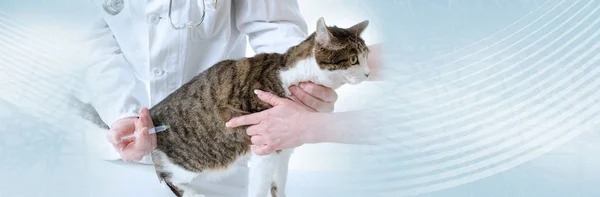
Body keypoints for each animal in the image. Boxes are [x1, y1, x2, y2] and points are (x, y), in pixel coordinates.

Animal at [149, 17, 370, 197]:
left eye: (366, 57)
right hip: (190, 164)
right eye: (353, 59)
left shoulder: (285, 146)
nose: (368, 73)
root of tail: (151, 115)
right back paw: (192, 193)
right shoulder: (264, 144)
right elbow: (259, 187)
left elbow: (278, 183)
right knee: (166, 176)